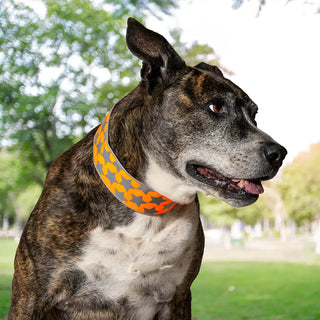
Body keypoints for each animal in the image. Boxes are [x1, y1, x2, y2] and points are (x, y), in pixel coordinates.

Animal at [8, 18, 286, 320]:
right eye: (216, 107)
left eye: (254, 115)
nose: (279, 154)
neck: (147, 208)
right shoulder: (32, 296)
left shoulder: (178, 298)